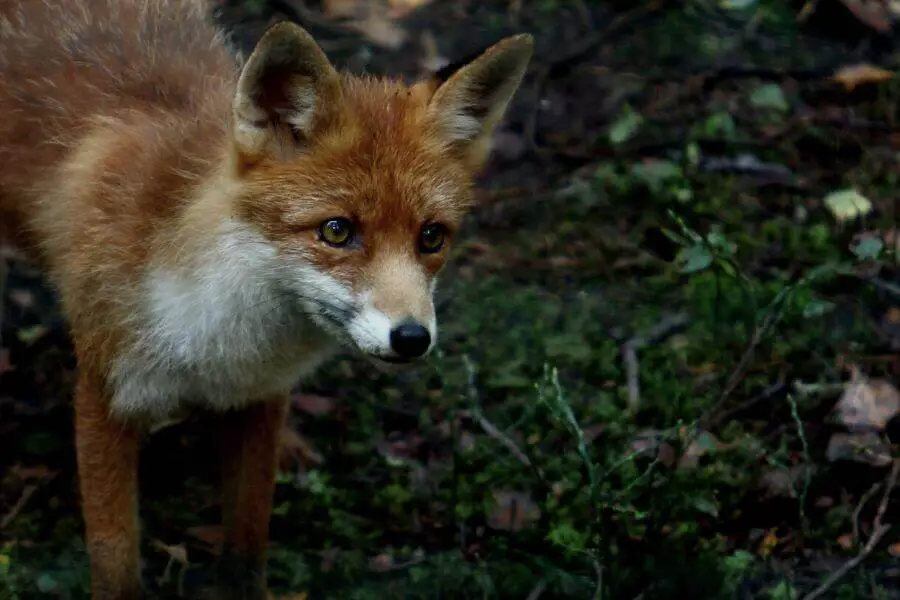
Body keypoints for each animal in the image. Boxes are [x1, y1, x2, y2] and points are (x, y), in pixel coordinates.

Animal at [0, 0, 532, 597]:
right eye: (336, 231)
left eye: (432, 237)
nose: (412, 338)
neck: (214, 332)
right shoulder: (105, 391)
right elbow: (116, 559)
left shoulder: (260, 395)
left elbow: (248, 538)